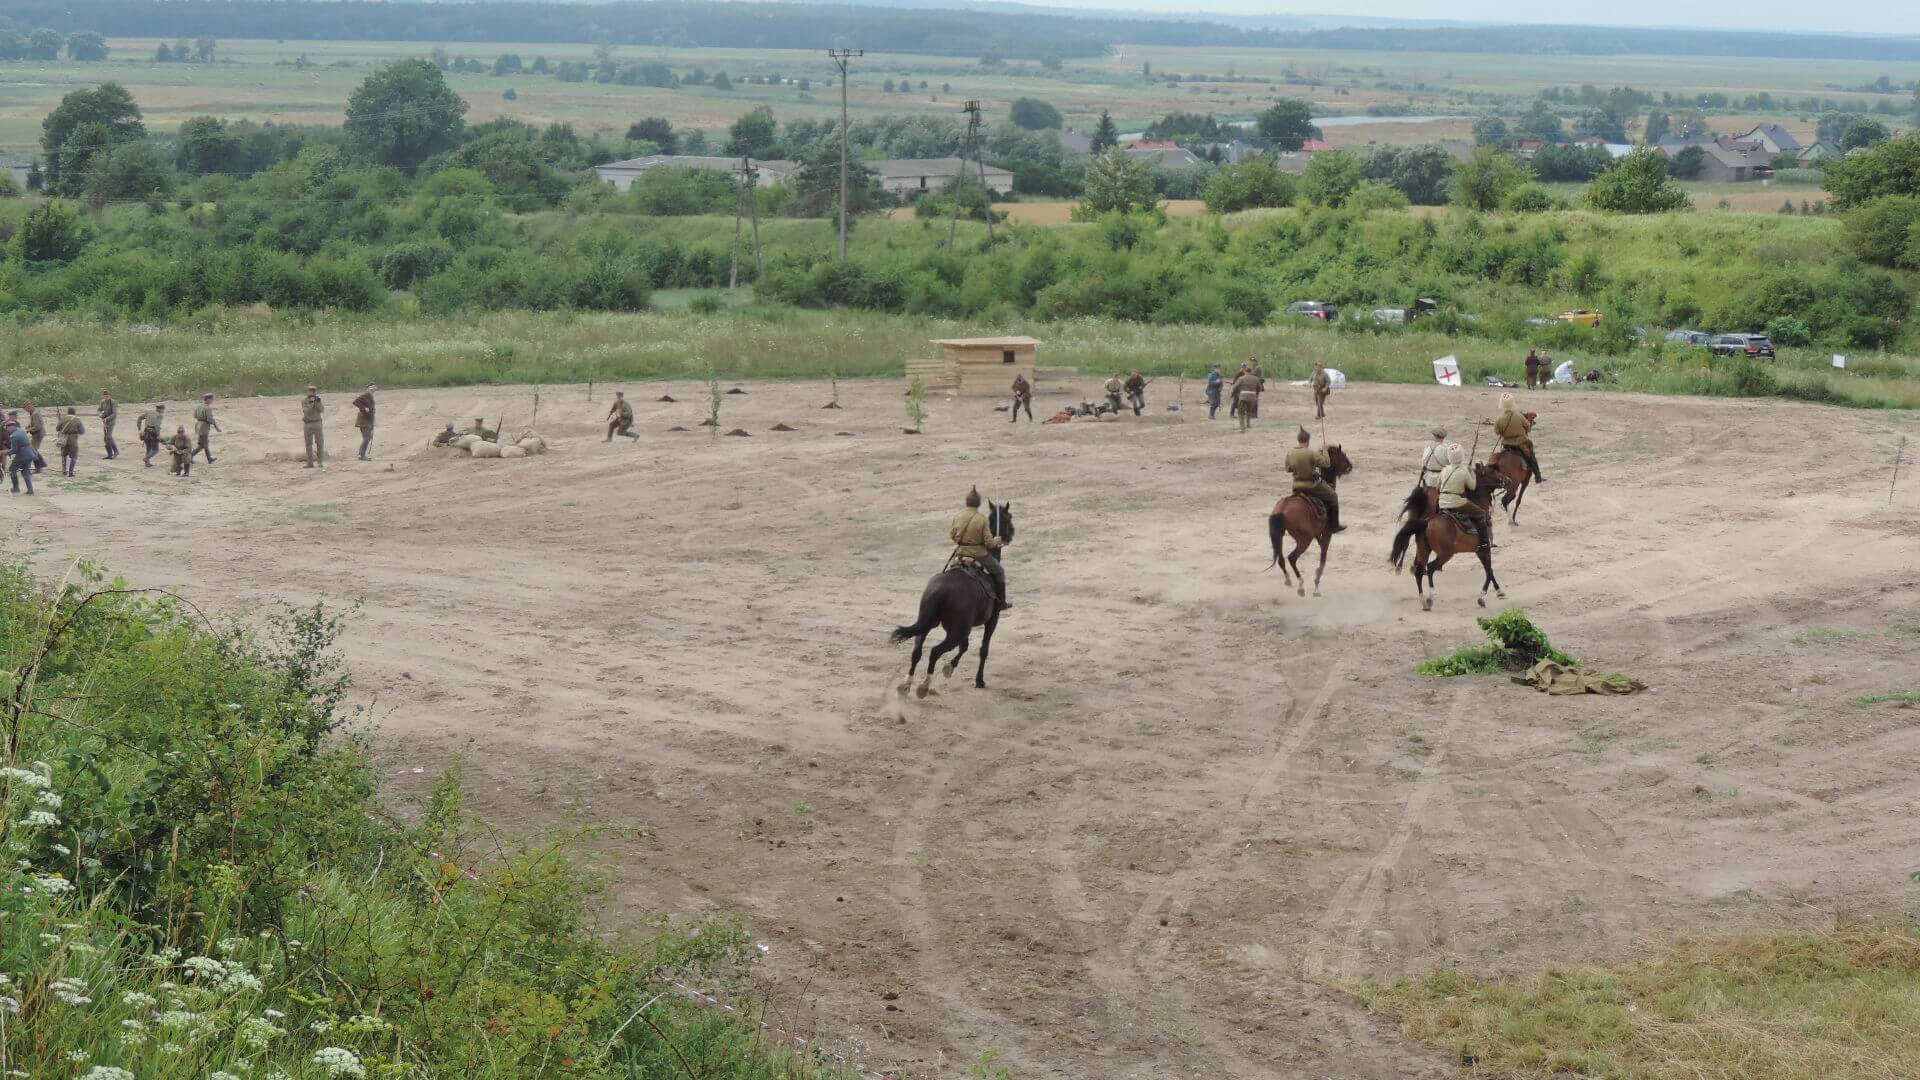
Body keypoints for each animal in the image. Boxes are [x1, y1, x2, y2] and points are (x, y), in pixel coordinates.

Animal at [890, 502, 1014, 697]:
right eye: (1009, 518)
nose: (1011, 535)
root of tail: (939, 591)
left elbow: (965, 647)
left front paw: (950, 668)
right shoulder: (992, 620)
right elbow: (982, 649)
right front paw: (978, 680)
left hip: (928, 624)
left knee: (917, 650)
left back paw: (906, 685)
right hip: (956, 632)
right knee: (935, 651)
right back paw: (924, 686)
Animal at [1266, 445, 1353, 598]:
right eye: (1342, 455)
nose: (1350, 466)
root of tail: (1283, 507)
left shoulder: (1318, 535)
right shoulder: (1327, 534)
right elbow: (1323, 559)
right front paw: (1316, 585)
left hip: (1280, 536)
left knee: (1281, 559)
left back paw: (1288, 579)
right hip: (1304, 540)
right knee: (1291, 558)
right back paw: (1301, 585)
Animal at [1387, 465, 1510, 611]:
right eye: (1492, 472)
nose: (1508, 480)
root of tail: (1427, 522)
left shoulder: (1479, 552)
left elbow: (1489, 571)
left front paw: (1498, 591)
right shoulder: (1484, 550)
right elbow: (1489, 571)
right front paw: (1484, 597)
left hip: (1424, 550)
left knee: (1419, 570)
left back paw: (1423, 600)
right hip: (1445, 554)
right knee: (1430, 568)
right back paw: (1430, 597)